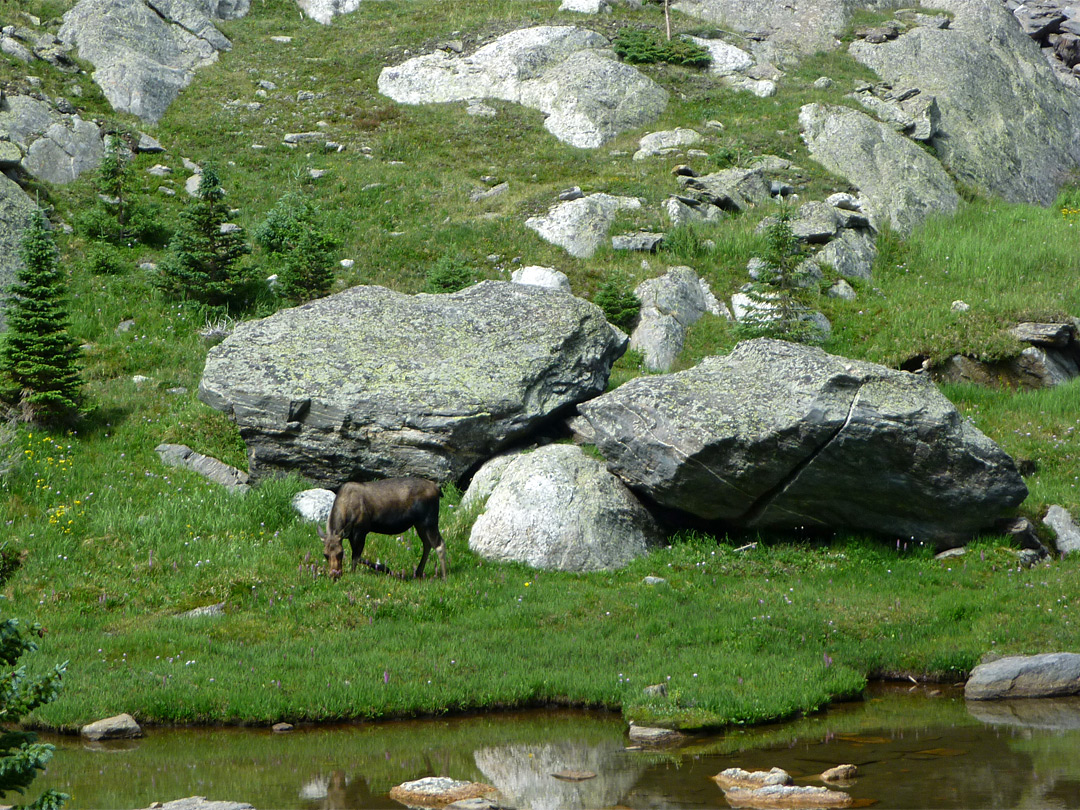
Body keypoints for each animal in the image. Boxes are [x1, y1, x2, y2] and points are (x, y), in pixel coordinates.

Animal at [315, 479, 447, 578]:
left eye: (341, 553)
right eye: (325, 554)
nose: (335, 574)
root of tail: (437, 489)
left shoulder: (361, 530)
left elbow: (355, 557)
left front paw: (355, 573)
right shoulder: (352, 535)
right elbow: (358, 557)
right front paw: (386, 569)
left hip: (429, 520)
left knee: (439, 544)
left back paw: (444, 577)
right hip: (419, 523)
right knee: (427, 544)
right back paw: (419, 572)